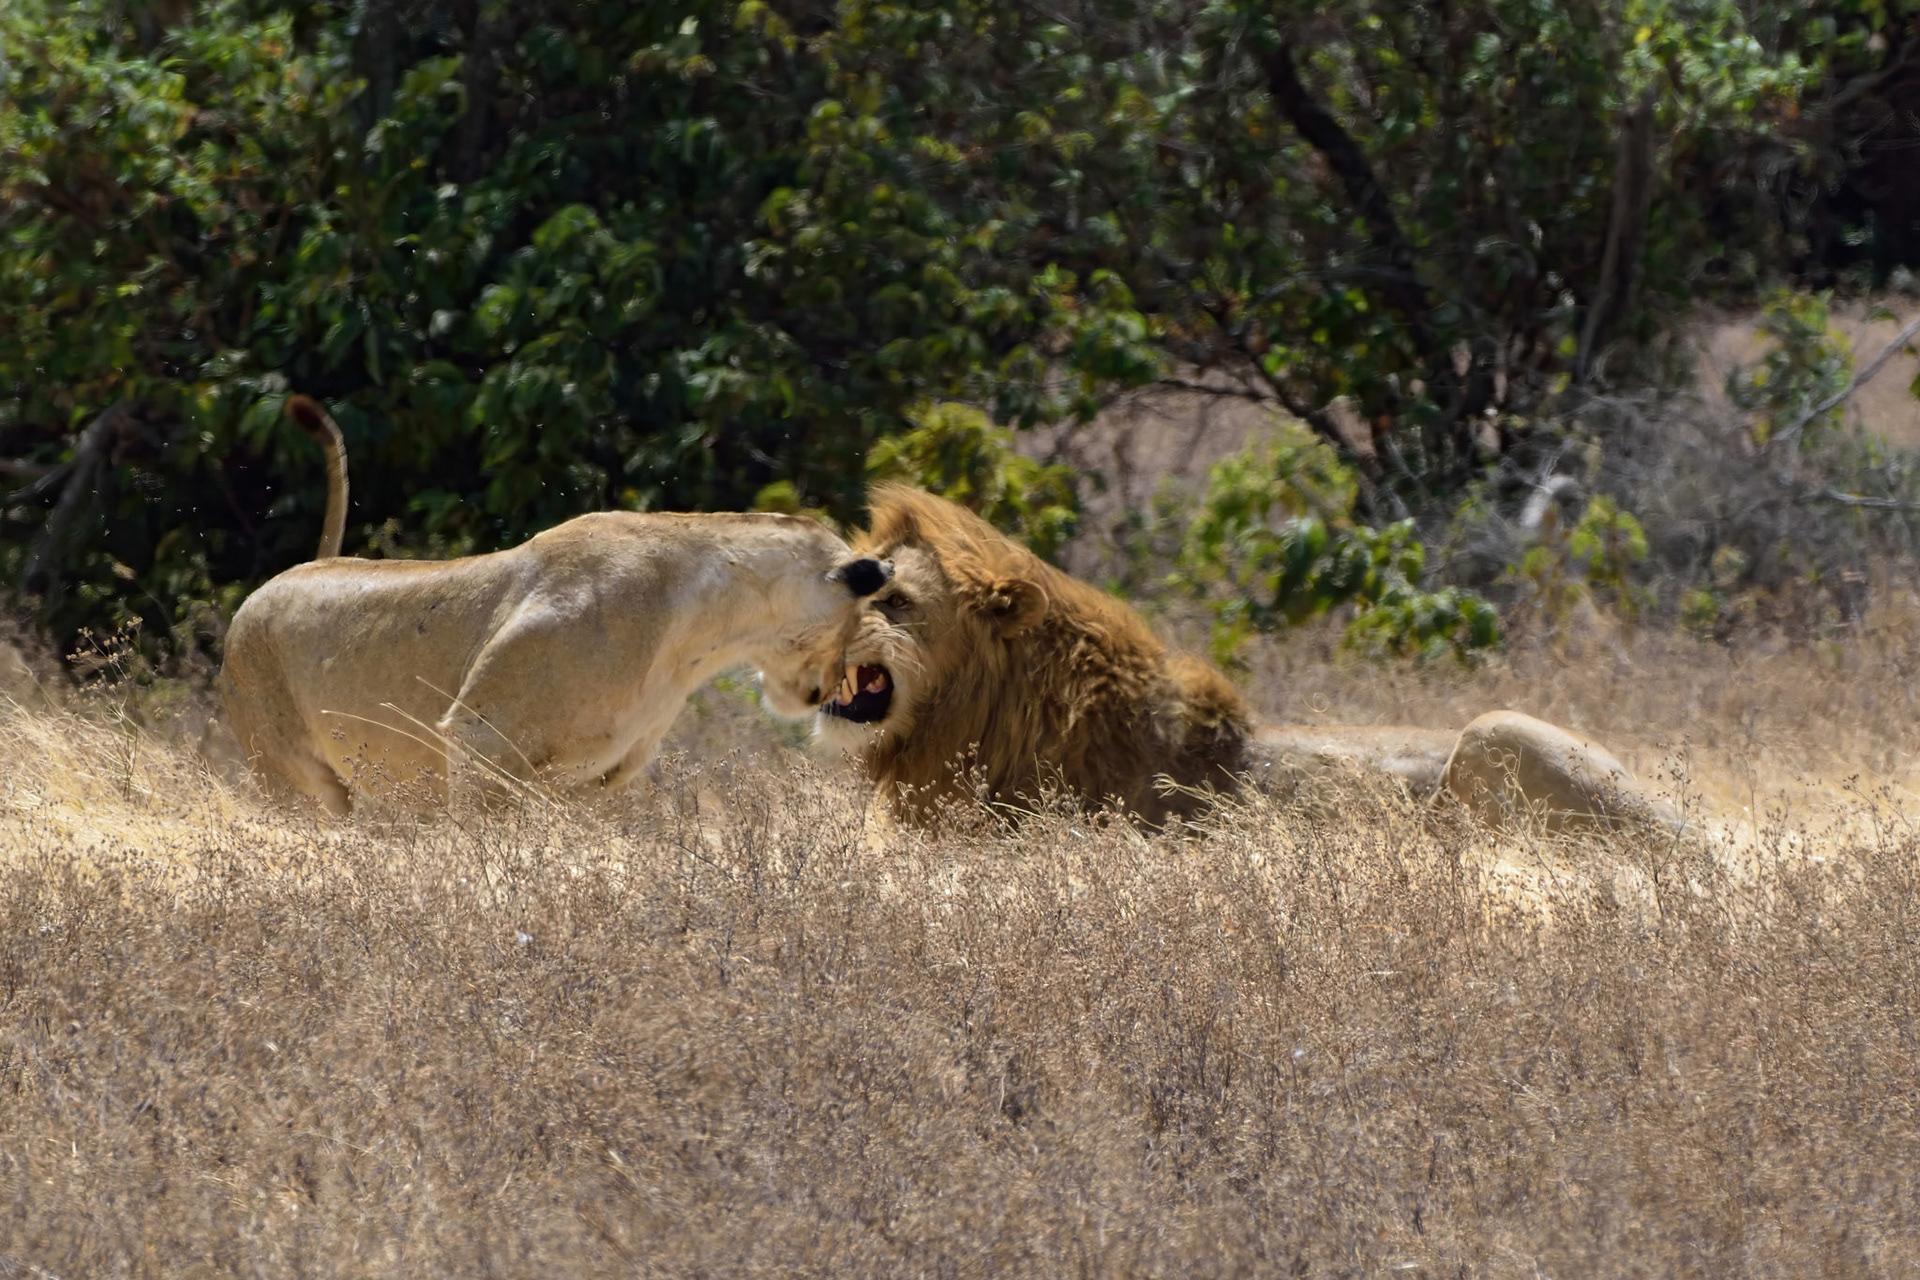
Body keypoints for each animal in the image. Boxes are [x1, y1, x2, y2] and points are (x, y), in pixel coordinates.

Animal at [220, 394, 891, 815]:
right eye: (856, 628)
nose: (825, 690)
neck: (703, 634)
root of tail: (276, 580)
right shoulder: (481, 738)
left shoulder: (595, 780)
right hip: (292, 780)